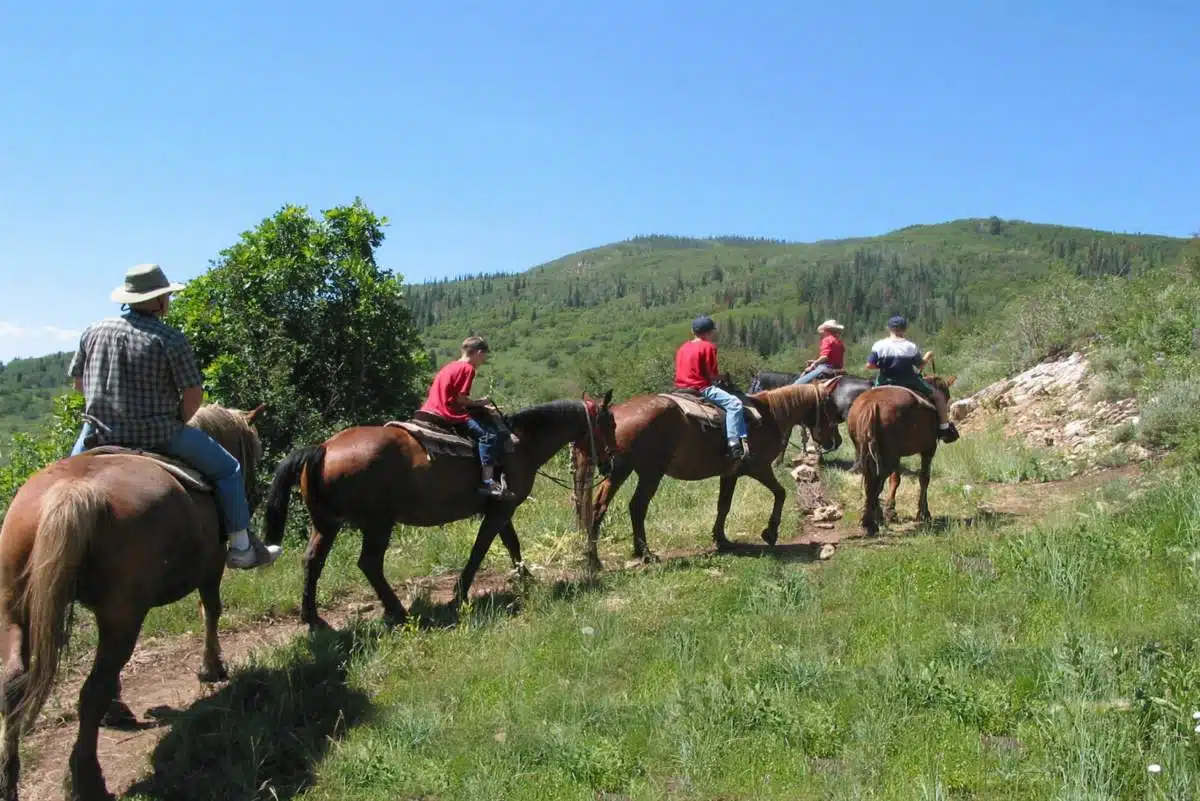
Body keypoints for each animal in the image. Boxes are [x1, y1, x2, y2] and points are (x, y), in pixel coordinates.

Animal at [0, 402, 264, 801]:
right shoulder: (212, 567)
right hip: (125, 615)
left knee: (13, 683)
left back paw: (9, 779)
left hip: (17, 609)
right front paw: (211, 667)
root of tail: (72, 492)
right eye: (254, 448)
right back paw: (88, 778)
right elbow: (211, 610)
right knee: (91, 691)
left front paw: (118, 707)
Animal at [264, 393, 619, 633]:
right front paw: (459, 594)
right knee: (369, 564)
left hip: (326, 524)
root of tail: (323, 449)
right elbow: (480, 549)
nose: (611, 463)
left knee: (312, 562)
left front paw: (525, 577)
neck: (522, 442)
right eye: (611, 423)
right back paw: (399, 611)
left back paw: (313, 619)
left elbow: (511, 543)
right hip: (377, 523)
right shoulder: (500, 509)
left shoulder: (502, 508)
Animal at [849, 376, 960, 537]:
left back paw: (875, 519)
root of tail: (871, 405)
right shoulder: (928, 450)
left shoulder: (897, 455)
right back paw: (870, 523)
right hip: (887, 458)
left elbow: (895, 480)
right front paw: (923, 513)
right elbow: (924, 478)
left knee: (872, 482)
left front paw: (891, 512)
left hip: (870, 455)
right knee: (875, 484)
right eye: (947, 397)